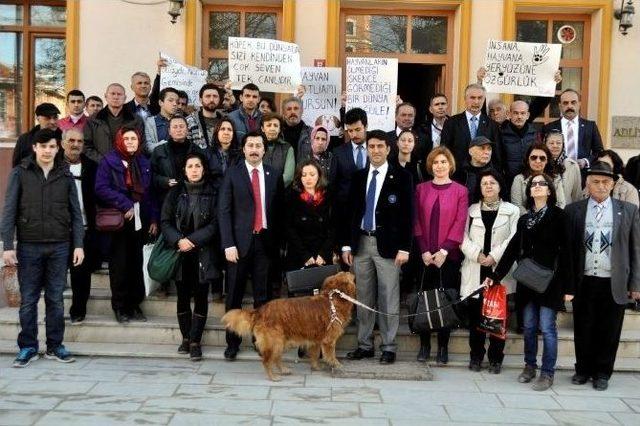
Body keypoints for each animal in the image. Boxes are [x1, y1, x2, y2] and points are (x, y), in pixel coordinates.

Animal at [222, 272, 358, 382]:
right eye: (345, 273)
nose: (351, 271)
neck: (334, 299)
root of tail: (260, 310)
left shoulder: (315, 340)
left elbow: (314, 355)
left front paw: (316, 367)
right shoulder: (329, 340)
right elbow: (332, 355)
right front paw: (337, 365)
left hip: (280, 341)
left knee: (276, 358)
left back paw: (284, 370)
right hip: (274, 341)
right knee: (267, 361)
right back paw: (273, 377)